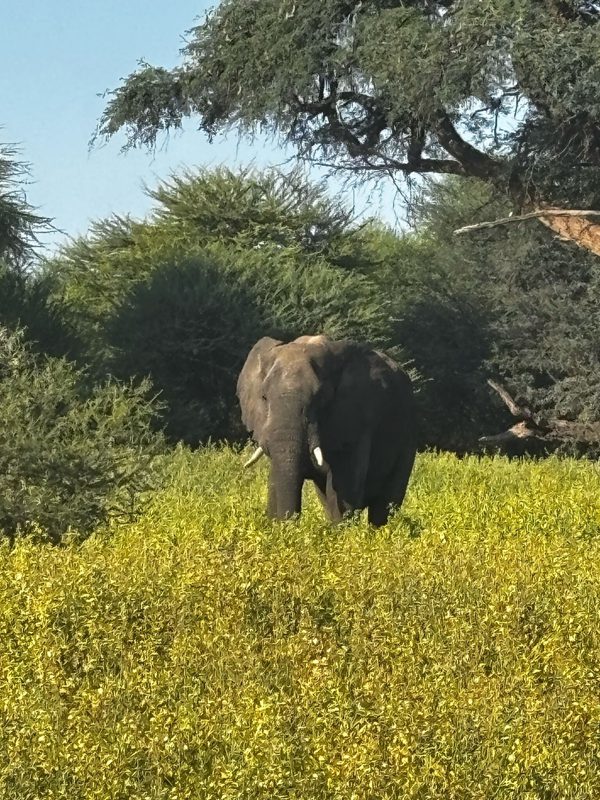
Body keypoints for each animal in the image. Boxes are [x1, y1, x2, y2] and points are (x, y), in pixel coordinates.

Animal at [237, 334, 417, 526]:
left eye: (320, 398)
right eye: (264, 397)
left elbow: (345, 487)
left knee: (385, 504)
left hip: (408, 433)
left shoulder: (357, 419)